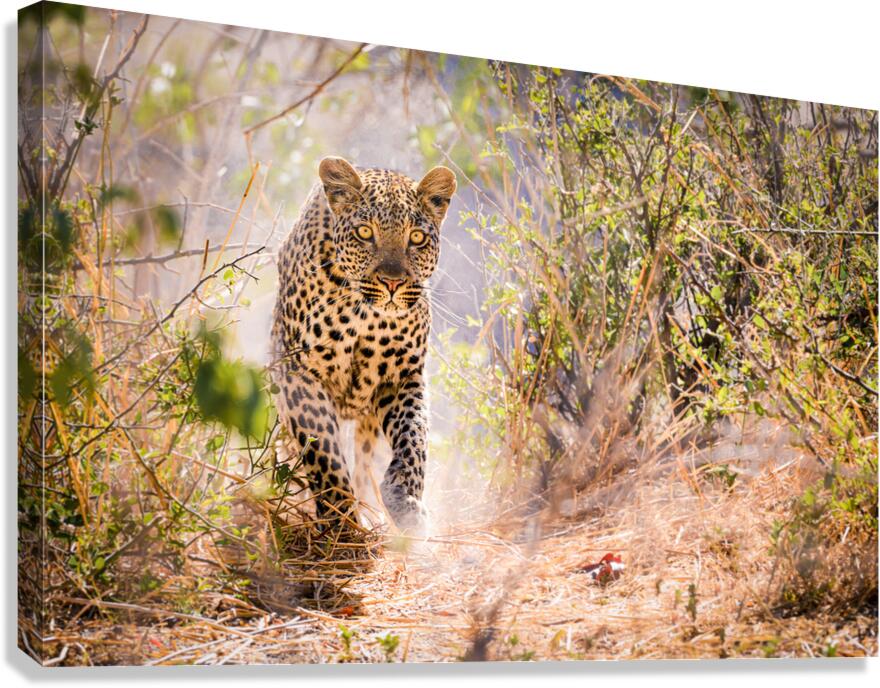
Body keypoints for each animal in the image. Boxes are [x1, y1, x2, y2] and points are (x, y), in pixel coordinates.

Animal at [270, 156, 456, 532]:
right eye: (365, 233)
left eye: (416, 238)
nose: (392, 283)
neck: (366, 315)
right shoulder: (299, 372)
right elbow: (323, 451)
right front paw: (342, 522)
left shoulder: (403, 376)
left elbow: (414, 438)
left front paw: (405, 502)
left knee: (366, 456)